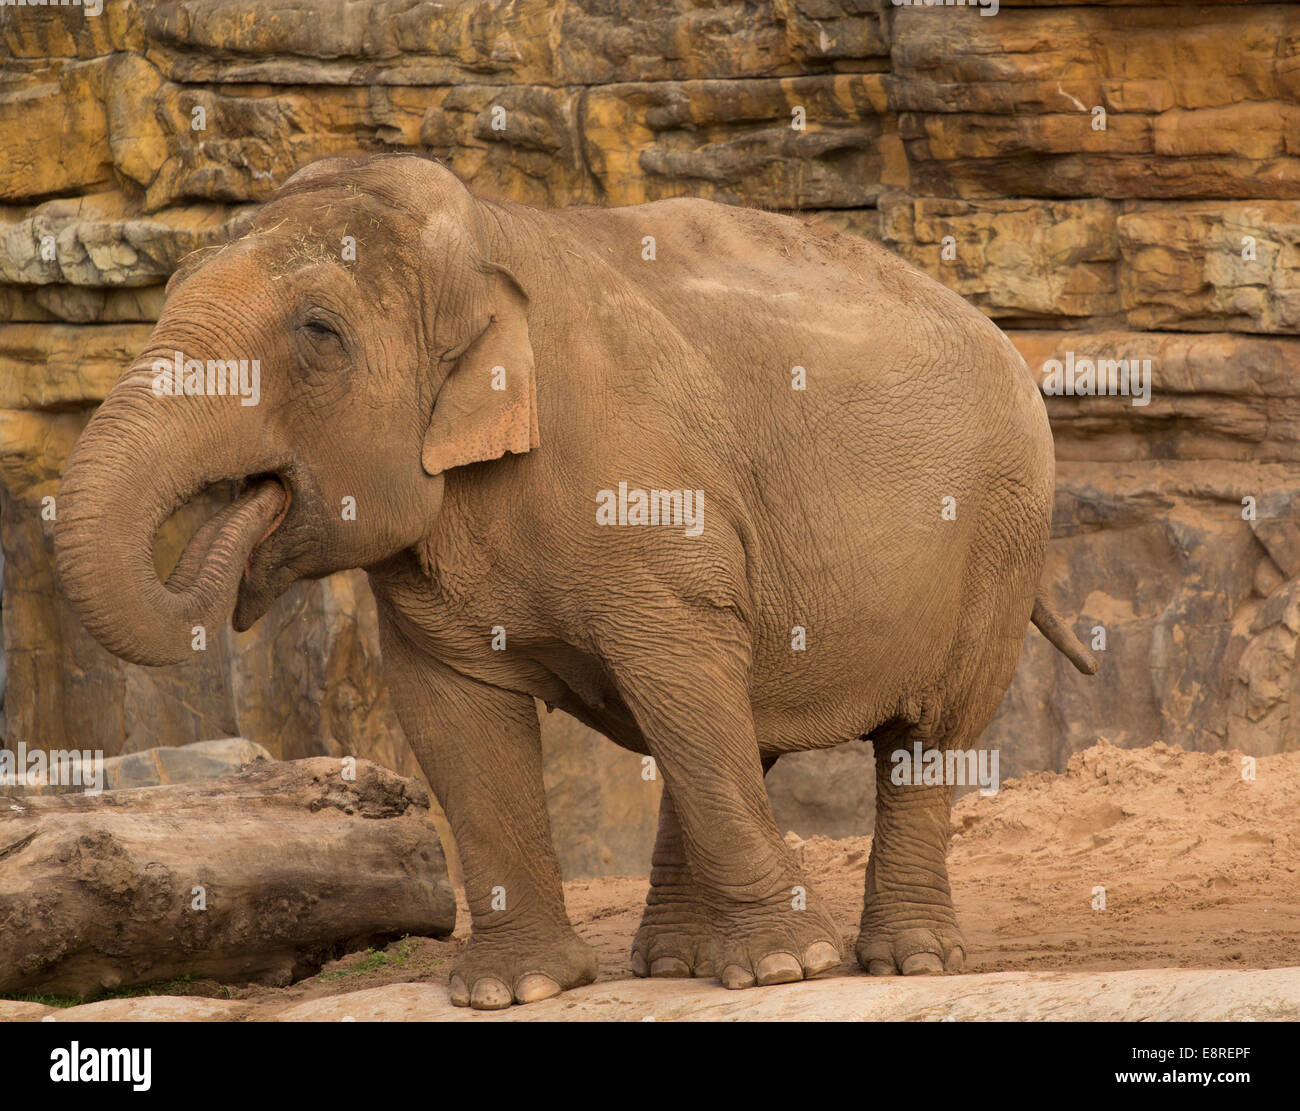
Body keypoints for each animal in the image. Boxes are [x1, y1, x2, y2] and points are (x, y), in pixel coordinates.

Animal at [55, 153, 1096, 1009]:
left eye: (319, 331)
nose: (248, 506)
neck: (488, 233)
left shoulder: (650, 505)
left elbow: (675, 670)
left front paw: (788, 970)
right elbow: (456, 716)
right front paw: (514, 989)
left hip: (1000, 537)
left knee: (913, 733)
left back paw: (905, 961)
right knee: (724, 727)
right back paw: (674, 963)